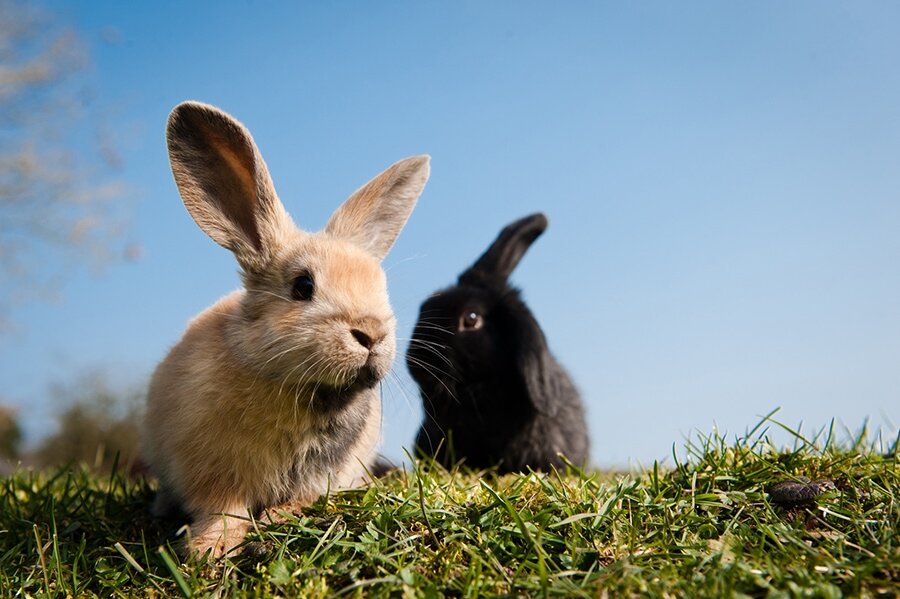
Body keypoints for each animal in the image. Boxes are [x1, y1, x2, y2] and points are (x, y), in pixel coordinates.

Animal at [144, 102, 432, 556]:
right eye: (303, 286)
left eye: (381, 287)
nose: (371, 333)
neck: (302, 391)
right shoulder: (210, 472)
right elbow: (225, 509)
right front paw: (209, 548)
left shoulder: (328, 474)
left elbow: (305, 498)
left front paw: (278, 518)